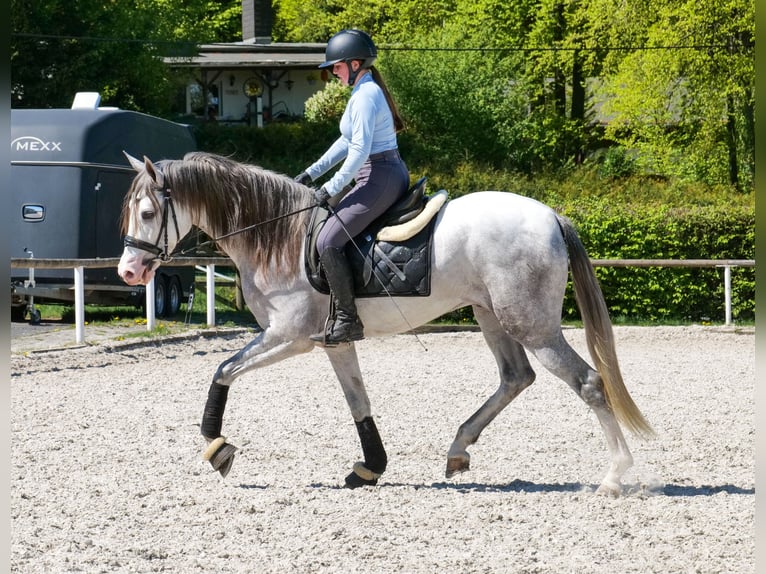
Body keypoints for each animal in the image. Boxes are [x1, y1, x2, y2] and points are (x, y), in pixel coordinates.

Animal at [117, 151, 654, 496]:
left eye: (148, 212)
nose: (129, 272)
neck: (278, 234)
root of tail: (550, 216)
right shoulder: (332, 342)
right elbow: (359, 402)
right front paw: (370, 469)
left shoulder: (289, 336)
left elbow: (224, 369)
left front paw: (217, 447)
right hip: (492, 316)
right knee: (515, 377)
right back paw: (458, 449)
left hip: (531, 324)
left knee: (588, 382)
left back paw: (614, 477)